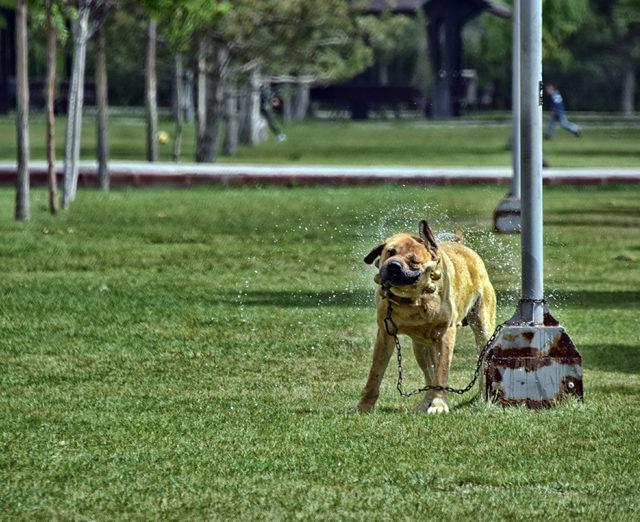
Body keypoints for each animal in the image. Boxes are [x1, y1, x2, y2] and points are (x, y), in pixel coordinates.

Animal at [356, 217, 496, 412]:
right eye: (390, 252)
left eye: (413, 261)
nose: (393, 265)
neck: (413, 300)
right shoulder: (385, 334)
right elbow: (375, 373)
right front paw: (364, 406)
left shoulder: (446, 334)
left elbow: (442, 372)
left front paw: (439, 404)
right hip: (420, 347)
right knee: (429, 375)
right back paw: (424, 403)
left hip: (483, 330)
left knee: (481, 362)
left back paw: (483, 397)